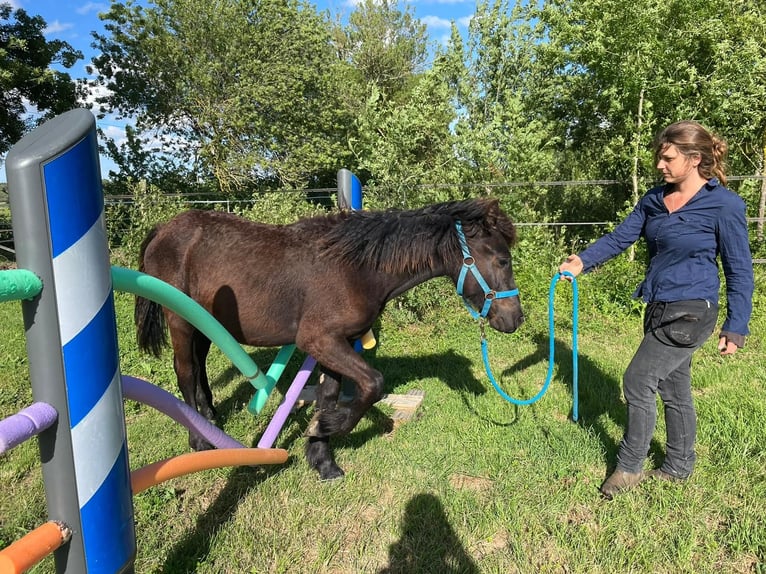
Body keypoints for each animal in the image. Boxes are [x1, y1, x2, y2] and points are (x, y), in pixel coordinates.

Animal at [135, 198, 524, 482]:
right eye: (502, 259)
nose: (515, 319)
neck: (356, 268)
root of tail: (163, 229)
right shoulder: (319, 341)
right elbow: (373, 384)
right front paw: (326, 427)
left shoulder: (337, 344)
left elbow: (332, 395)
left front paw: (322, 458)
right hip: (180, 322)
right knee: (185, 372)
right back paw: (199, 440)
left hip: (202, 323)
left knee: (199, 367)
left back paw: (210, 419)